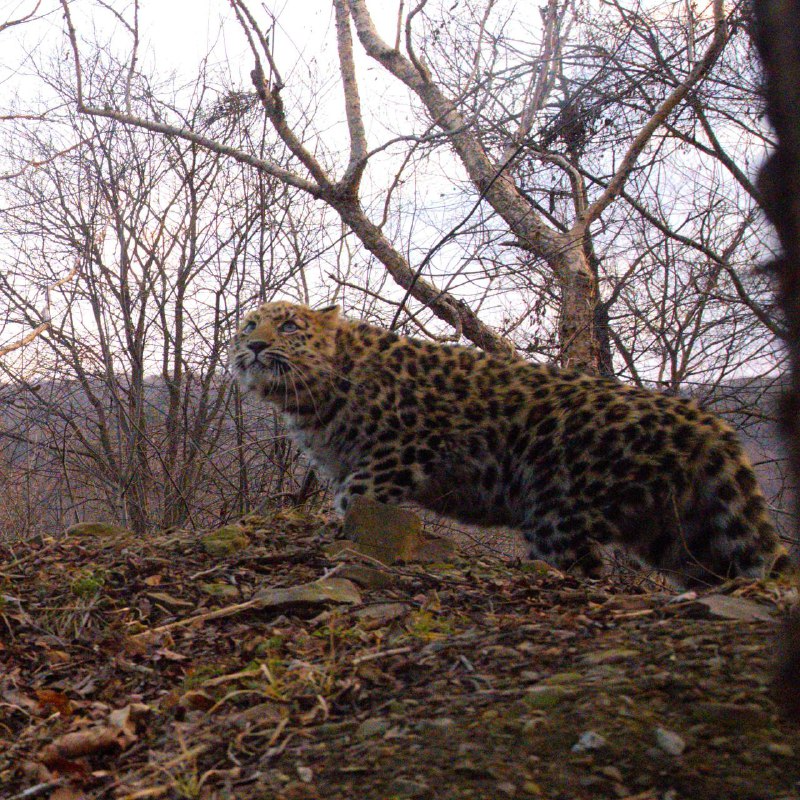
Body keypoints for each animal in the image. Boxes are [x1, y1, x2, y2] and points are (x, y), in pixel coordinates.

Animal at [228, 300, 792, 588]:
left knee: (583, 570)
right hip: (679, 531)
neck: (312, 398)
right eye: (248, 324)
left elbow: (354, 500)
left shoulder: (398, 451)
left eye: (289, 324)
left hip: (558, 511)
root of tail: (704, 418)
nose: (253, 346)